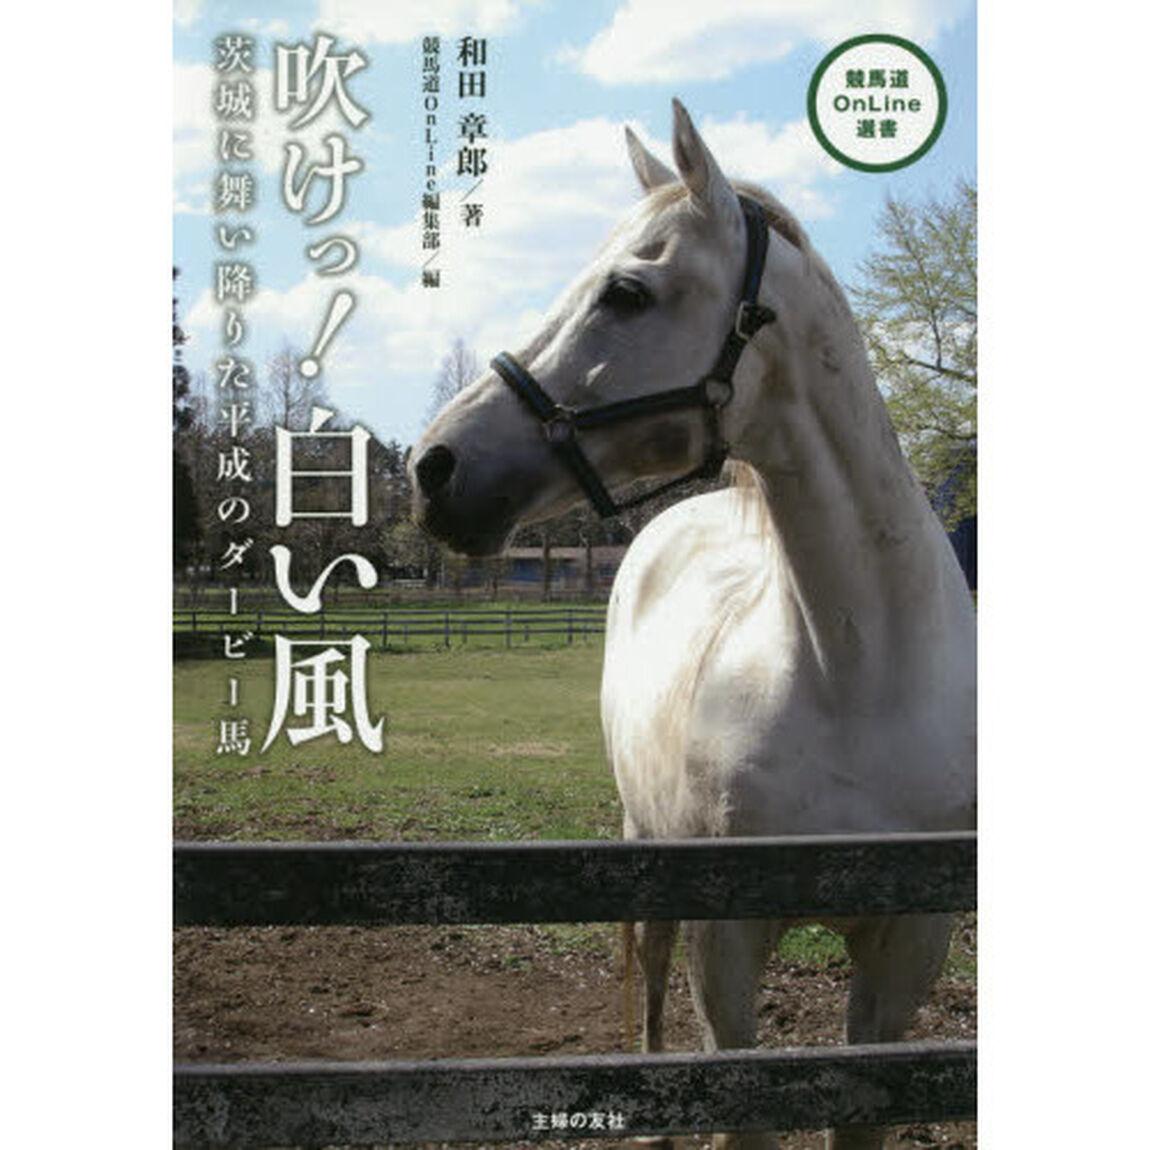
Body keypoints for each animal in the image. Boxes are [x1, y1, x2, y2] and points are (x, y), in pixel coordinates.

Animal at [410, 100, 976, 1150]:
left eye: (628, 293)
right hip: (650, 851)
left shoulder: (909, 948)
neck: (860, 677)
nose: (433, 467)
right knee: (652, 988)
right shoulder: (727, 938)